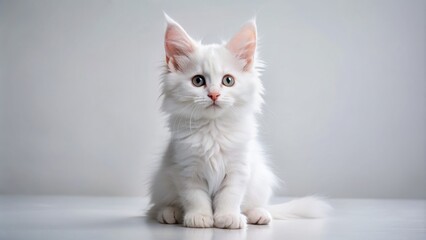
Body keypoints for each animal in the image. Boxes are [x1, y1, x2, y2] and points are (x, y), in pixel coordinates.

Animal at [148, 15, 332, 229]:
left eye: (228, 81)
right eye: (198, 81)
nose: (214, 94)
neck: (213, 130)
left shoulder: (238, 169)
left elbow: (230, 196)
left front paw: (227, 218)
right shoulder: (186, 169)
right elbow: (195, 197)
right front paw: (200, 217)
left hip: (260, 180)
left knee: (255, 205)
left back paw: (258, 215)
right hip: (162, 182)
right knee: (158, 206)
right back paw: (170, 213)